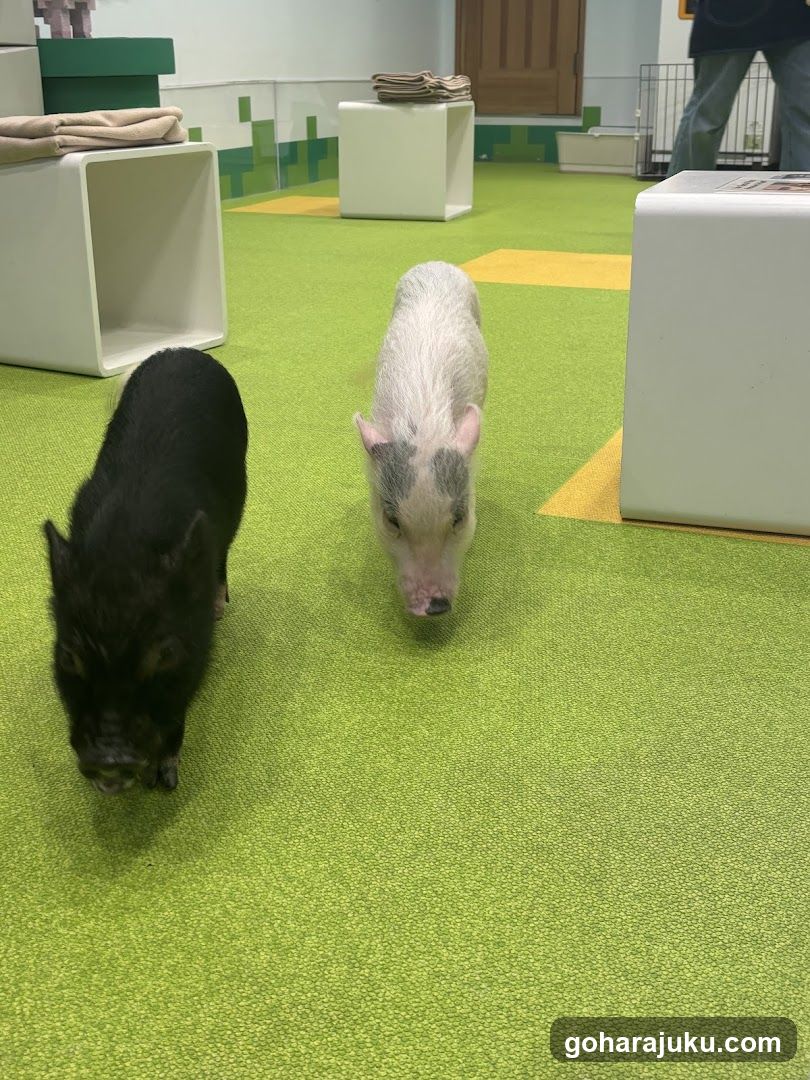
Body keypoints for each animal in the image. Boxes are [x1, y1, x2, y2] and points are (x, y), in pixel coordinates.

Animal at [43, 348, 248, 794]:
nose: (108, 761)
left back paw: (221, 605)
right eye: (68, 656)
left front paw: (166, 781)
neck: (125, 548)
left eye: (165, 654)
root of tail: (181, 351)